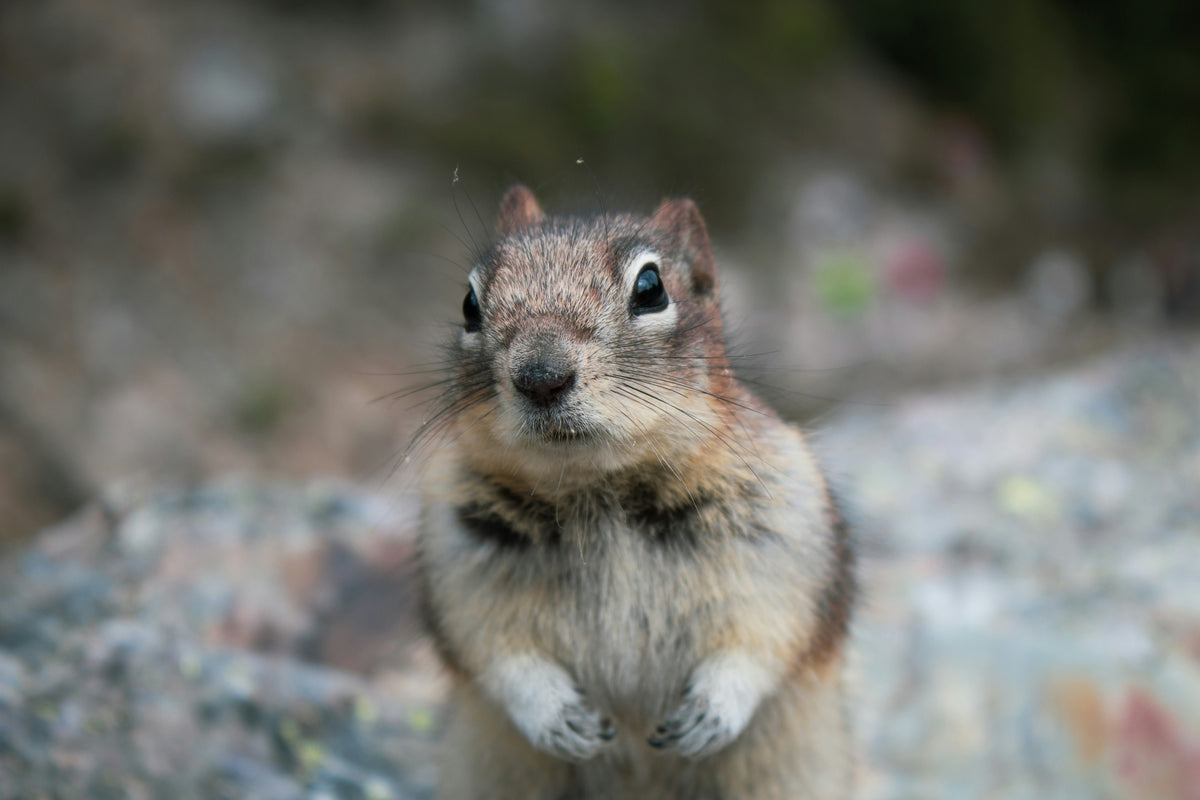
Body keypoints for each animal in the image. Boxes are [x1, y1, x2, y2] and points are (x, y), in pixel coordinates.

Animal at [415, 185, 857, 800]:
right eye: (469, 304)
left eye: (651, 289)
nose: (541, 377)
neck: (600, 488)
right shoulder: (458, 555)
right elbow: (496, 653)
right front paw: (557, 717)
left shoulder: (783, 541)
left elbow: (762, 640)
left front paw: (711, 712)